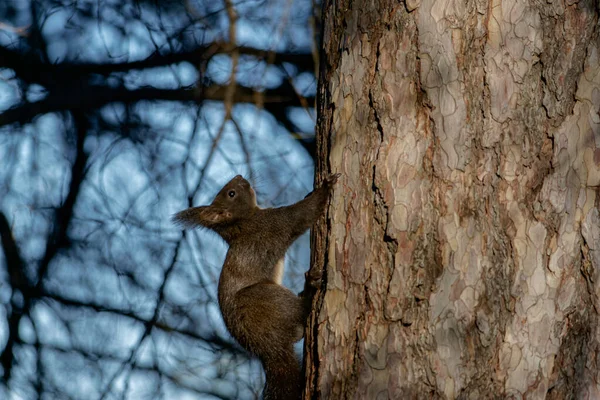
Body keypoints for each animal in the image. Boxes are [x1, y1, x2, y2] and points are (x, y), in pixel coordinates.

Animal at [173, 173, 340, 400]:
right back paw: (309, 290)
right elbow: (302, 214)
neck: (244, 220)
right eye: (231, 193)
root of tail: (269, 348)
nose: (239, 176)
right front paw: (325, 188)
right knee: (299, 313)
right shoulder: (274, 222)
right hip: (264, 298)